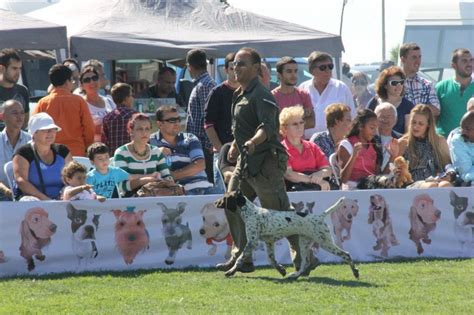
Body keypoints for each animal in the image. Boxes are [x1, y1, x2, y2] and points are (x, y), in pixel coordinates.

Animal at [215, 193, 360, 282]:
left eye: (224, 197)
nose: (215, 202)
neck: (251, 212)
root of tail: (319, 216)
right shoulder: (269, 242)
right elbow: (272, 260)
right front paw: (281, 270)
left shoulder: (252, 242)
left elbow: (239, 259)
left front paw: (230, 272)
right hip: (304, 243)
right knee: (305, 263)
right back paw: (295, 275)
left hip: (324, 242)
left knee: (346, 254)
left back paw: (355, 272)